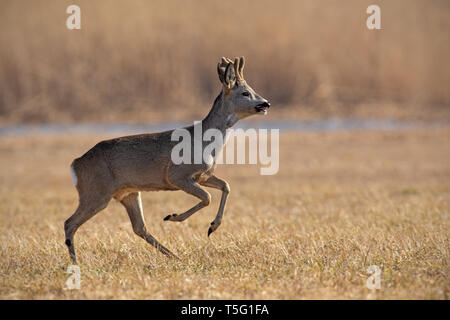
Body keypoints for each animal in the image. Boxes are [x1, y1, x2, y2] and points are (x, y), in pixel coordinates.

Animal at [64, 57, 268, 262]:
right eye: (245, 92)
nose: (266, 103)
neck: (205, 142)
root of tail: (75, 164)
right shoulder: (177, 175)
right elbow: (207, 197)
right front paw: (175, 217)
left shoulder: (202, 175)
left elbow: (226, 186)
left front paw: (212, 226)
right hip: (96, 192)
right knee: (69, 223)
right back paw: (75, 261)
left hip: (128, 193)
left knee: (139, 227)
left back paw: (174, 255)